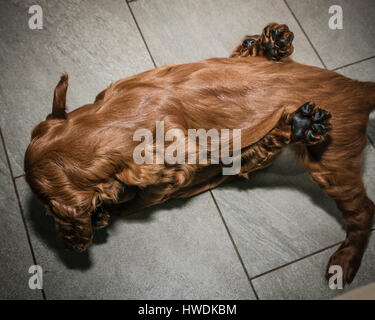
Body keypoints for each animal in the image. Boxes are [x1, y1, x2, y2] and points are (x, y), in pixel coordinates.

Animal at [25, 23, 375, 286]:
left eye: (49, 211)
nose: (67, 242)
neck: (112, 122)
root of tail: (358, 88)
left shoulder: (162, 182)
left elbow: (132, 201)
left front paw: (105, 213)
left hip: (332, 162)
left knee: (364, 211)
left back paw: (345, 260)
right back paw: (271, 51)